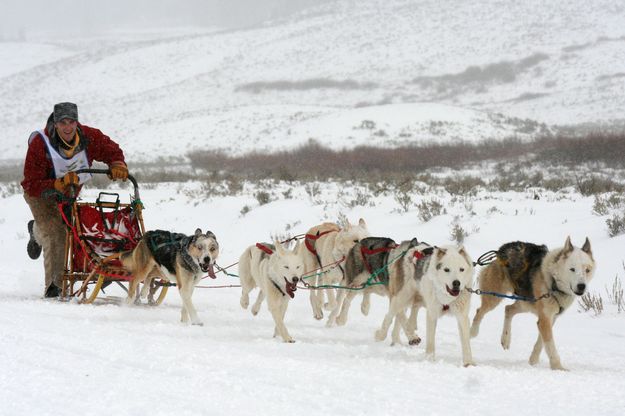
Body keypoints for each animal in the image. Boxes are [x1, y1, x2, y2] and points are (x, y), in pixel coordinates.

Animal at [468, 237, 596, 370]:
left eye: (587, 270)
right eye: (572, 269)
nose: (582, 286)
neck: (553, 283)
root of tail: (499, 252)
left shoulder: (550, 318)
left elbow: (541, 343)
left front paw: (533, 360)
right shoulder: (545, 319)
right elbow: (550, 346)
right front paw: (558, 367)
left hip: (526, 303)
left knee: (508, 309)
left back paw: (506, 338)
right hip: (494, 297)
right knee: (480, 311)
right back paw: (473, 332)